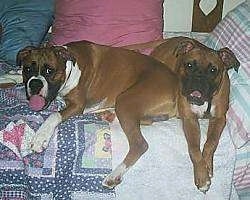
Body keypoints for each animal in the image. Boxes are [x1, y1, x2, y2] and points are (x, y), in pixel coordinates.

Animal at [17, 37, 240, 192]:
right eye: (27, 69)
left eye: (49, 71)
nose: (34, 84)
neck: (70, 63)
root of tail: (175, 85)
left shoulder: (77, 106)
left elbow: (53, 115)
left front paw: (39, 137)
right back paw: (107, 116)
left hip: (124, 101)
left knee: (140, 144)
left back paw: (114, 175)